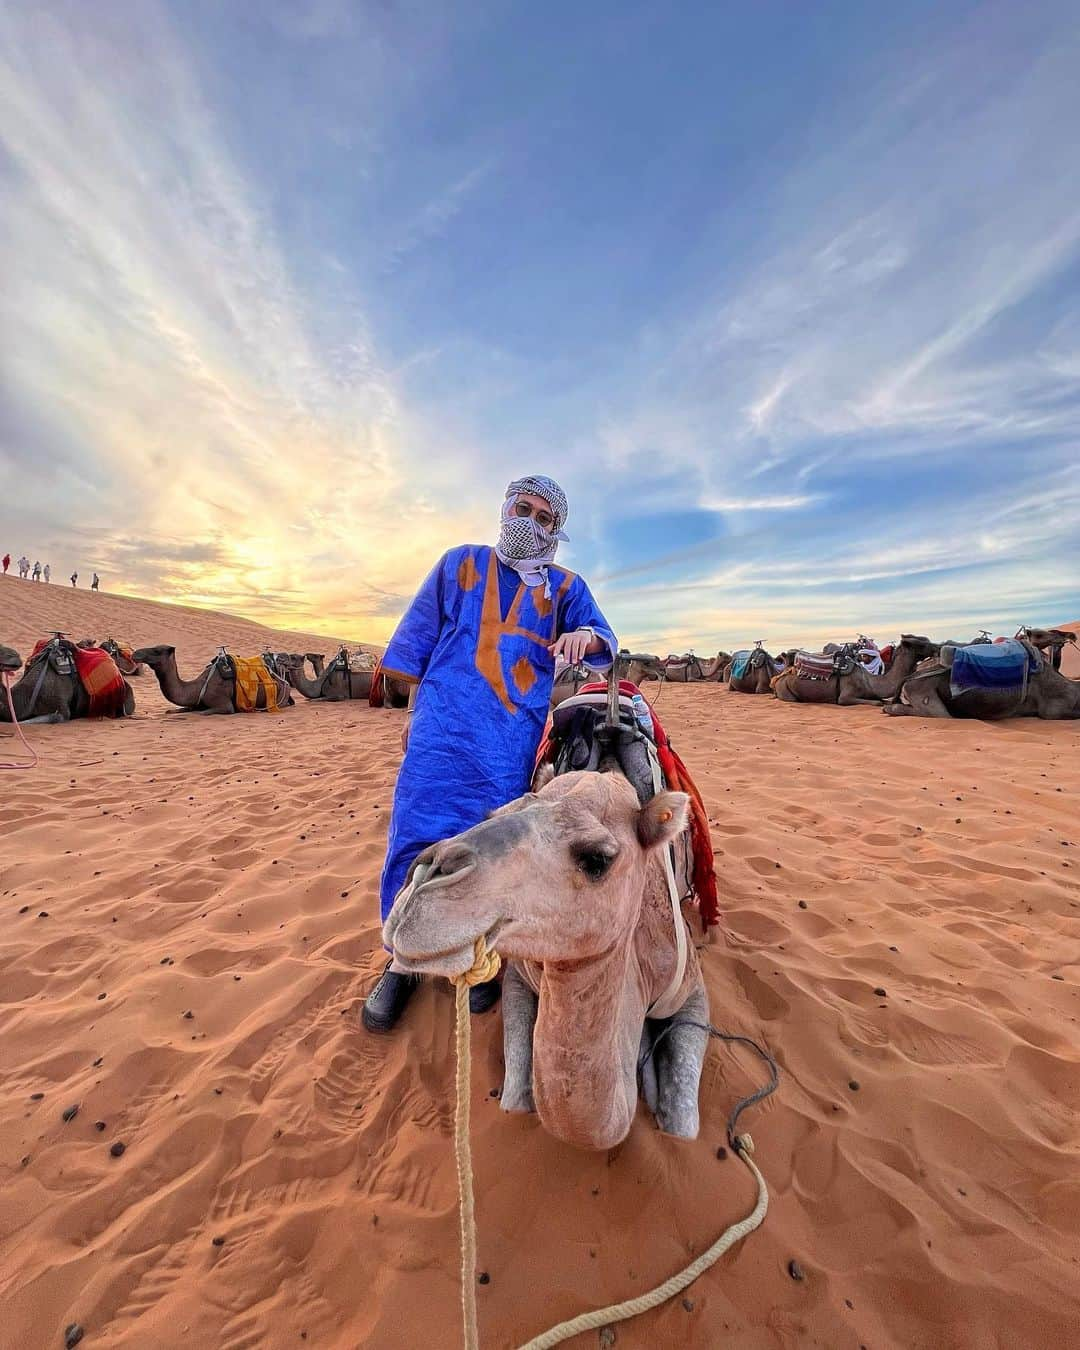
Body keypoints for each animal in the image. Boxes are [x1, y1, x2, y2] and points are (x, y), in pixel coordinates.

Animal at [130, 645, 291, 718]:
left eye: (156, 650)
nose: (135, 653)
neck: (198, 687)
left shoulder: (225, 706)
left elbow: (200, 713)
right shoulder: (194, 704)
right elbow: (173, 710)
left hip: (279, 699)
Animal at [386, 766, 707, 1155]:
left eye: (597, 859)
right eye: (492, 814)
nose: (423, 877)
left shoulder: (688, 988)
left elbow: (682, 1126)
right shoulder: (520, 978)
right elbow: (514, 1099)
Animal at [772, 634, 939, 707]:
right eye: (921, 643)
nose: (938, 647)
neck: (869, 681)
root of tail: (779, 678)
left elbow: (882, 700)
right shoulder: (845, 696)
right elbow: (877, 703)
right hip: (785, 691)